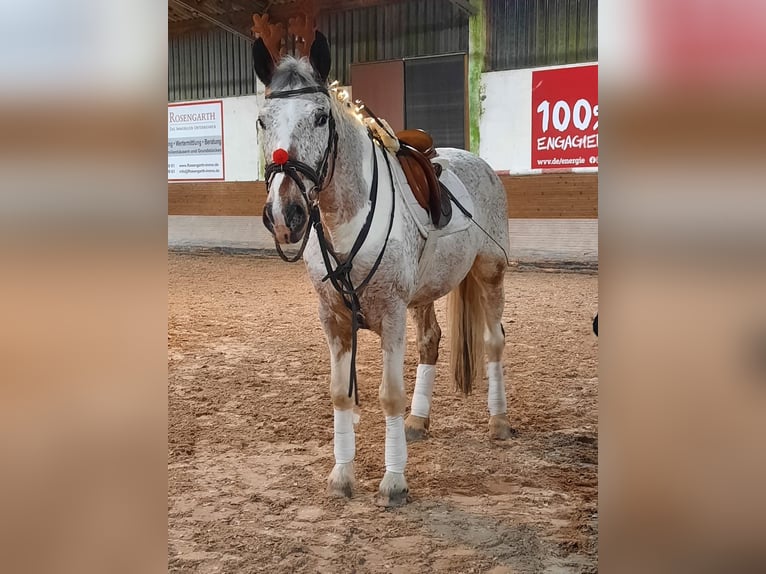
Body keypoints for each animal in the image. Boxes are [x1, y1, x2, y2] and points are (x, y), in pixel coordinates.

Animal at [255, 32, 512, 508]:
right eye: (263, 121)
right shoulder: (334, 319)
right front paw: (342, 475)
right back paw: (418, 421)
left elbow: (389, 396)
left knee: (494, 342)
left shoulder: (391, 313)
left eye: (321, 117)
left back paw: (499, 422)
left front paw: (394, 481)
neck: (347, 217)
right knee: (431, 342)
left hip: (490, 273)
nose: (286, 214)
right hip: (425, 294)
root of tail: (478, 162)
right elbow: (340, 394)